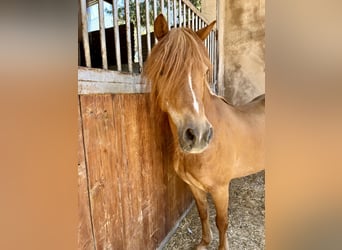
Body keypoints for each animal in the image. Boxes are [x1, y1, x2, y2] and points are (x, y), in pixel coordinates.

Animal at [143, 14, 266, 249]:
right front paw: (203, 242)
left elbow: (222, 221)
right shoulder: (195, 187)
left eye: (205, 71)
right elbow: (203, 213)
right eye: (163, 70)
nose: (198, 135)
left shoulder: (220, 188)